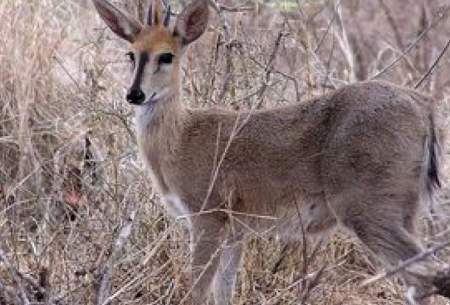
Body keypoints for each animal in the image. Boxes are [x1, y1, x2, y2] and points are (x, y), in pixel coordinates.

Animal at [92, 1, 450, 302]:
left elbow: (197, 292)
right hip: (406, 209)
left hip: (367, 205)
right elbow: (224, 293)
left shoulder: (208, 213)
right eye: (131, 54)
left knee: (429, 274)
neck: (179, 141)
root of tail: (423, 107)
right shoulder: (236, 229)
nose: (135, 94)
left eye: (167, 55)